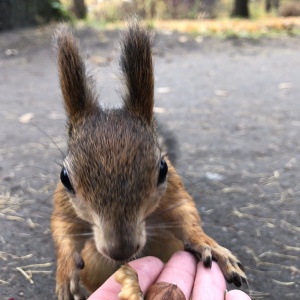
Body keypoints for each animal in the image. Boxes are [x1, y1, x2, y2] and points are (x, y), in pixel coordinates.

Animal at [50, 23, 246, 300]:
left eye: (162, 169)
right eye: (65, 178)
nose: (121, 250)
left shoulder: (173, 192)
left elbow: (186, 214)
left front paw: (209, 245)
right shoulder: (63, 203)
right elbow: (62, 229)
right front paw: (66, 273)